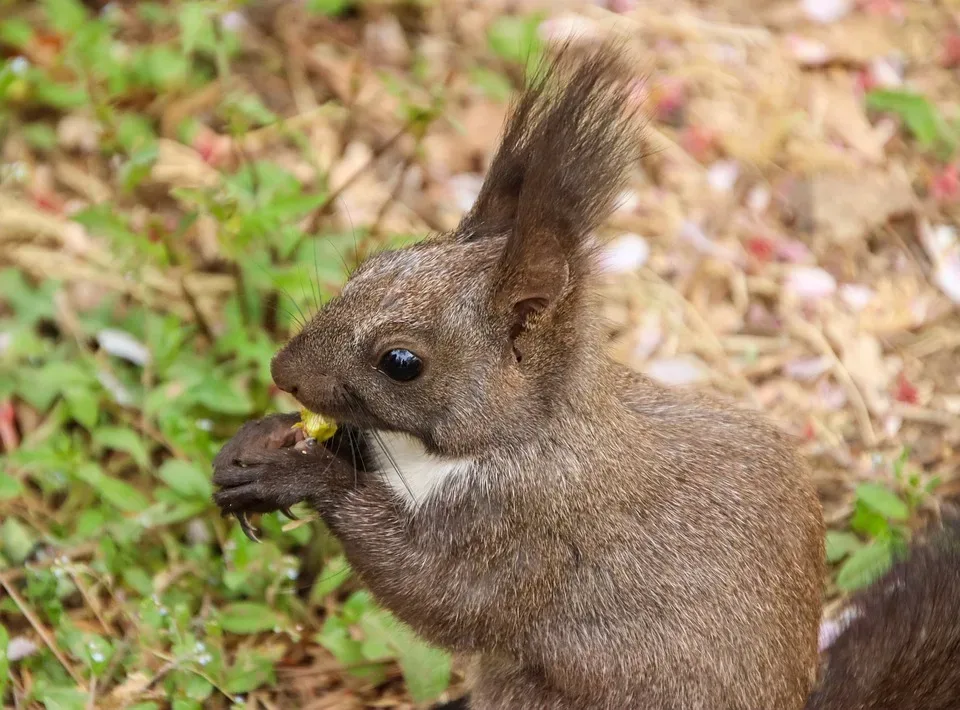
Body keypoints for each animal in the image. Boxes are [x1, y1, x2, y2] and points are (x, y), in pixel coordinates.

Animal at [212, 43, 960, 708]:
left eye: (402, 363)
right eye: (372, 265)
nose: (283, 372)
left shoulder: (525, 529)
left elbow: (438, 592)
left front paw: (299, 473)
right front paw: (260, 441)